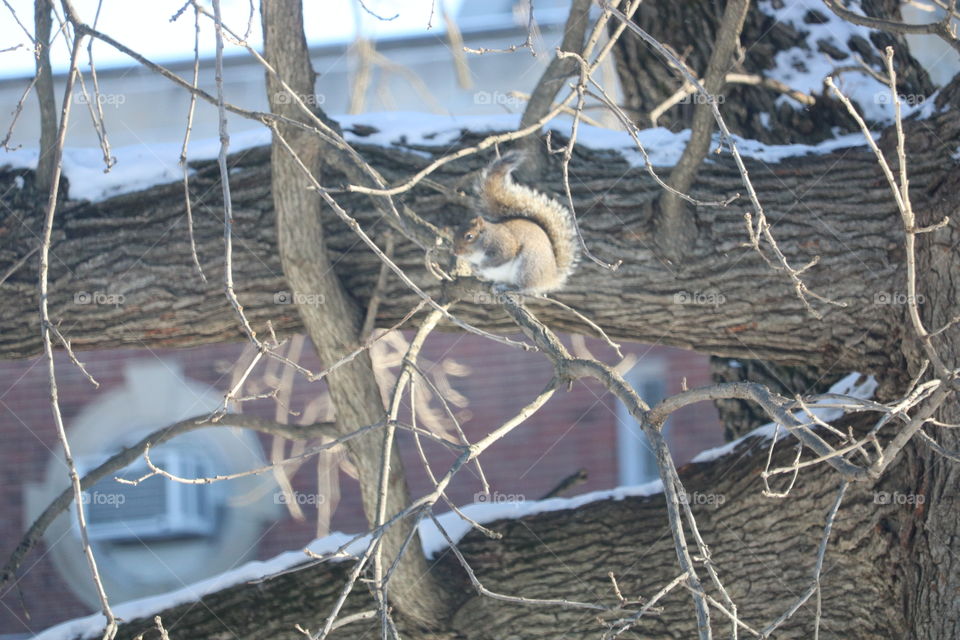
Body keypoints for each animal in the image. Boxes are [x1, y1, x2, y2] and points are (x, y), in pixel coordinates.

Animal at [453, 152, 580, 295]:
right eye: (454, 235)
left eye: (469, 236)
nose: (455, 252)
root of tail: (551, 278)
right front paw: (474, 267)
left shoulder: (503, 245)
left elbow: (500, 258)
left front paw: (481, 266)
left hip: (527, 267)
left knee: (524, 287)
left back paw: (508, 287)